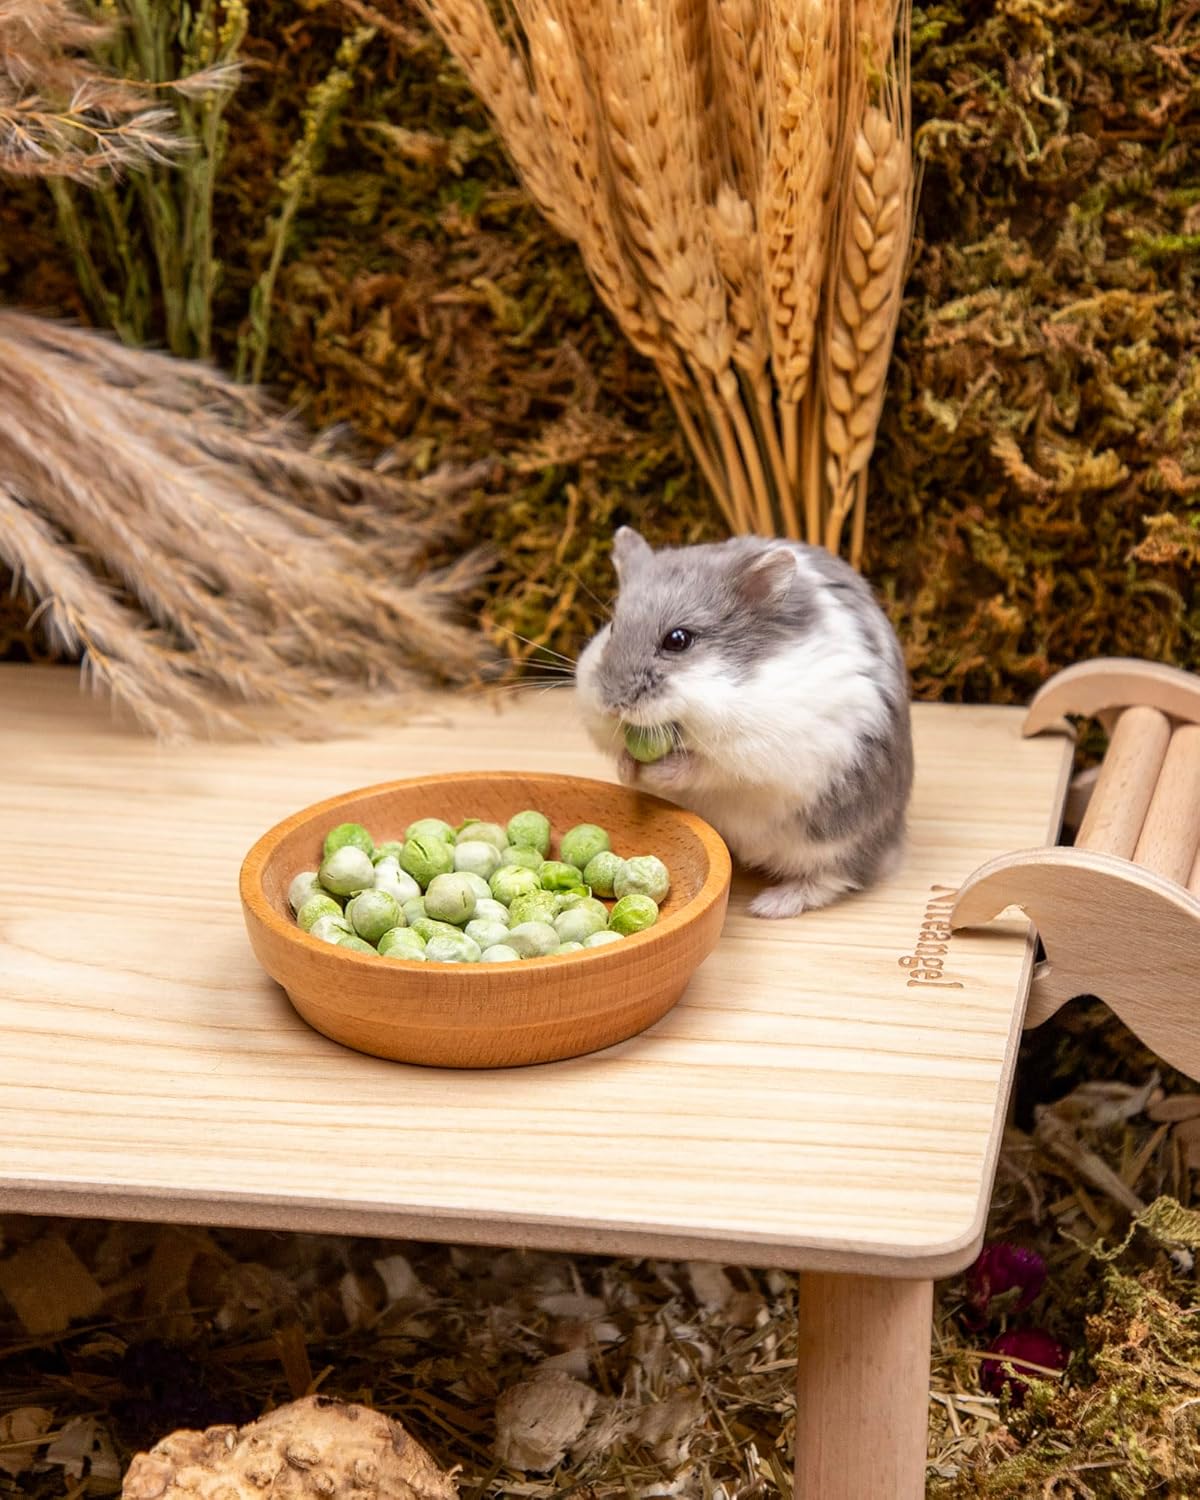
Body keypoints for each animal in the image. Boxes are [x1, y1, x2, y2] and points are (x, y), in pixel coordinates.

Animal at [574, 527, 913, 917]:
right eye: (613, 629)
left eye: (678, 640)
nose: (612, 704)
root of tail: (893, 841)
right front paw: (628, 768)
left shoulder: (756, 751)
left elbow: (702, 766)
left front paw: (660, 770)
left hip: (839, 837)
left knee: (835, 877)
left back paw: (770, 905)